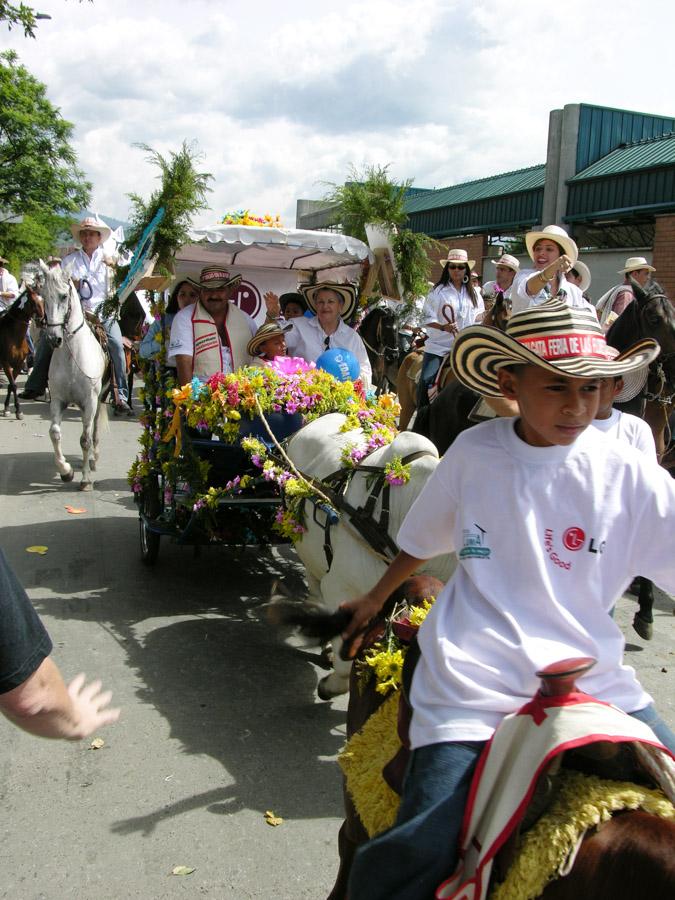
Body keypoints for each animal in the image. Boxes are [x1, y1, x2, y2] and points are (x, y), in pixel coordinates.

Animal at [0, 284, 43, 418]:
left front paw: (9, 408)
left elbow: (10, 385)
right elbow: (13, 385)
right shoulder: (5, 363)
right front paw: (16, 410)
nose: (42, 321)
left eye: (43, 300)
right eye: (34, 302)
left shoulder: (18, 364)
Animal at [39, 260, 107, 488]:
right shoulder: (58, 400)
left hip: (99, 400)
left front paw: (85, 480)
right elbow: (54, 433)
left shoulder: (90, 401)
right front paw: (66, 471)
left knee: (94, 430)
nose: (54, 339)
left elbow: (85, 439)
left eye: (63, 296)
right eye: (43, 295)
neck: (72, 355)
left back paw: (94, 459)